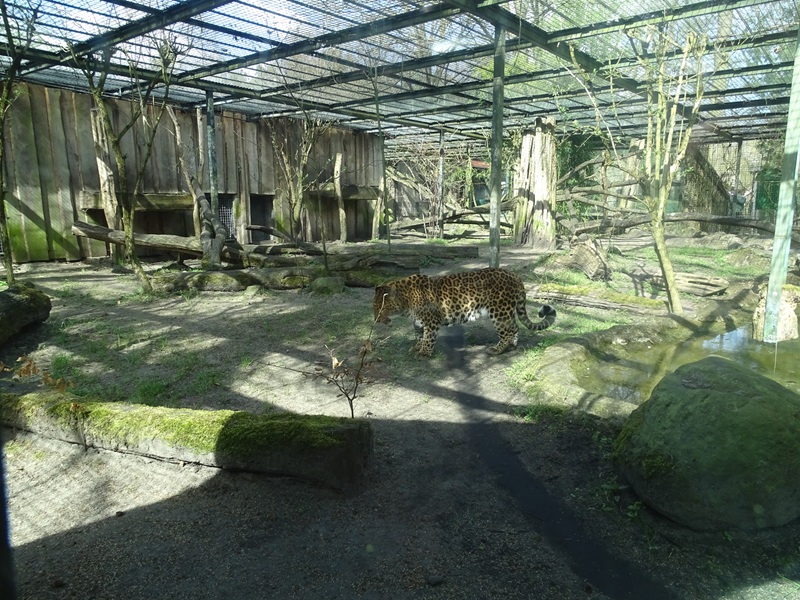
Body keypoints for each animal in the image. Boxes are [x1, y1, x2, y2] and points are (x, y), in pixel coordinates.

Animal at [373, 268, 556, 357]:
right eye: (373, 308)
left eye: (381, 308)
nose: (376, 320)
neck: (406, 301)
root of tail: (515, 275)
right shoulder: (418, 322)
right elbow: (420, 335)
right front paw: (417, 347)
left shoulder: (431, 321)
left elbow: (429, 337)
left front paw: (424, 353)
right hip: (506, 311)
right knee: (515, 328)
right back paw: (512, 346)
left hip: (499, 311)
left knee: (508, 331)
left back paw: (497, 349)